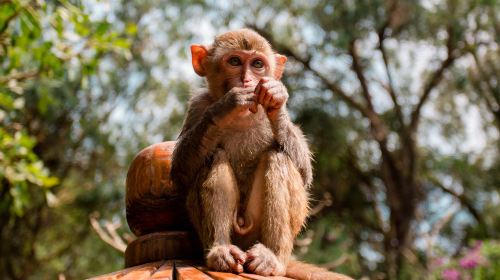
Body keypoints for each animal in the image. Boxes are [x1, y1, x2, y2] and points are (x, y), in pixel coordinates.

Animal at [170, 28, 350, 280]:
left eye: (257, 64)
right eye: (235, 61)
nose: (247, 80)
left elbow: (305, 173)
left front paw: (276, 101)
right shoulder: (198, 104)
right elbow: (180, 171)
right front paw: (226, 106)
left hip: (259, 231)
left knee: (279, 157)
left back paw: (272, 258)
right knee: (213, 156)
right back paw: (221, 251)